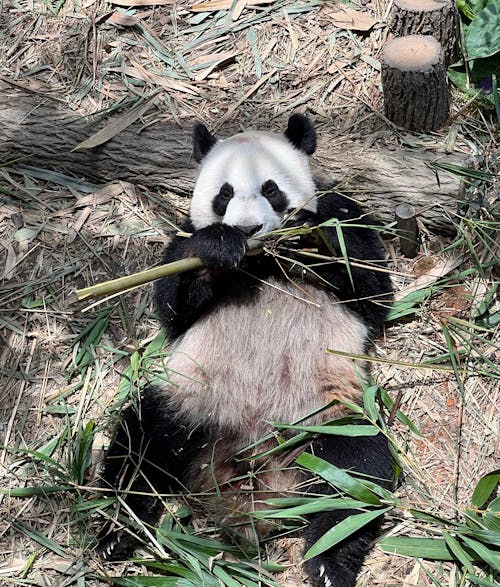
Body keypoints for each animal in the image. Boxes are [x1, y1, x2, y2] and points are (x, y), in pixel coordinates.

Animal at [97, 115, 394, 587]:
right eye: (224, 193)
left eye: (271, 189)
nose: (249, 230)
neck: (260, 261)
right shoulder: (185, 233)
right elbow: (173, 301)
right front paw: (220, 247)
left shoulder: (342, 214)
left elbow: (368, 286)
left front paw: (306, 240)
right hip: (192, 400)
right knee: (141, 444)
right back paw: (119, 530)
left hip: (326, 414)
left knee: (355, 476)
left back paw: (329, 561)